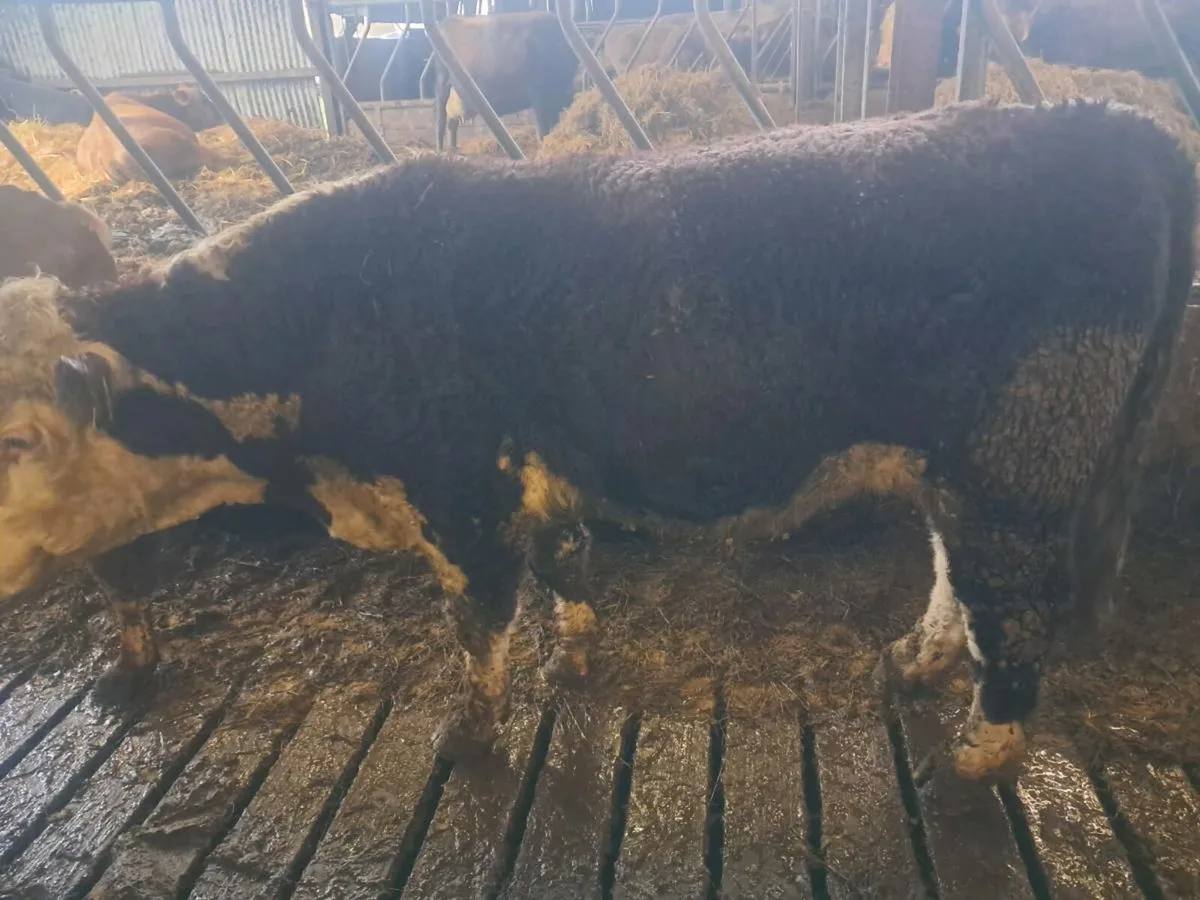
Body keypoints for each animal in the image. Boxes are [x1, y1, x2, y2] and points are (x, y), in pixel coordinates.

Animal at [0, 100, 1193, 783]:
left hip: (1019, 462)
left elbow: (477, 623)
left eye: (19, 439)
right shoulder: (541, 471)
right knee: (957, 579)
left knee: (1015, 616)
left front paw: (470, 739)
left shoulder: (462, 489)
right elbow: (565, 566)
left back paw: (977, 762)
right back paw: (912, 664)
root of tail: (1113, 126)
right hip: (965, 466)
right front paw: (570, 656)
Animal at [434, 11, 581, 151]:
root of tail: (449, 21)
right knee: (441, 121)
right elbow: (543, 127)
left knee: (452, 123)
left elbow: (553, 124)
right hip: (442, 85)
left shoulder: (553, 101)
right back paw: (440, 149)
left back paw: (453, 147)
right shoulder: (539, 96)